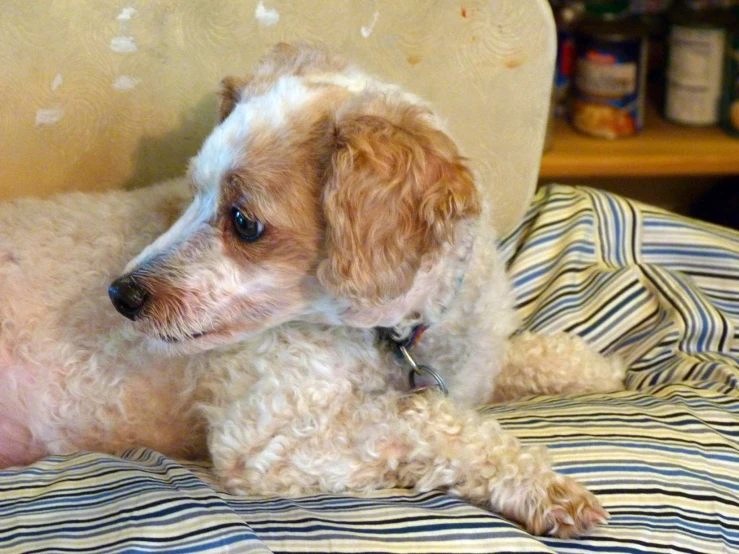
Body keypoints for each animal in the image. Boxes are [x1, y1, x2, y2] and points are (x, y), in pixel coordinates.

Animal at [0, 44, 624, 540]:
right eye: (193, 192)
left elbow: (529, 354)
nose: (120, 295)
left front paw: (599, 370)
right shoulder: (269, 439)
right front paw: (542, 484)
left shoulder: (476, 364)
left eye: (243, 221)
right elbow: (424, 419)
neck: (395, 334)